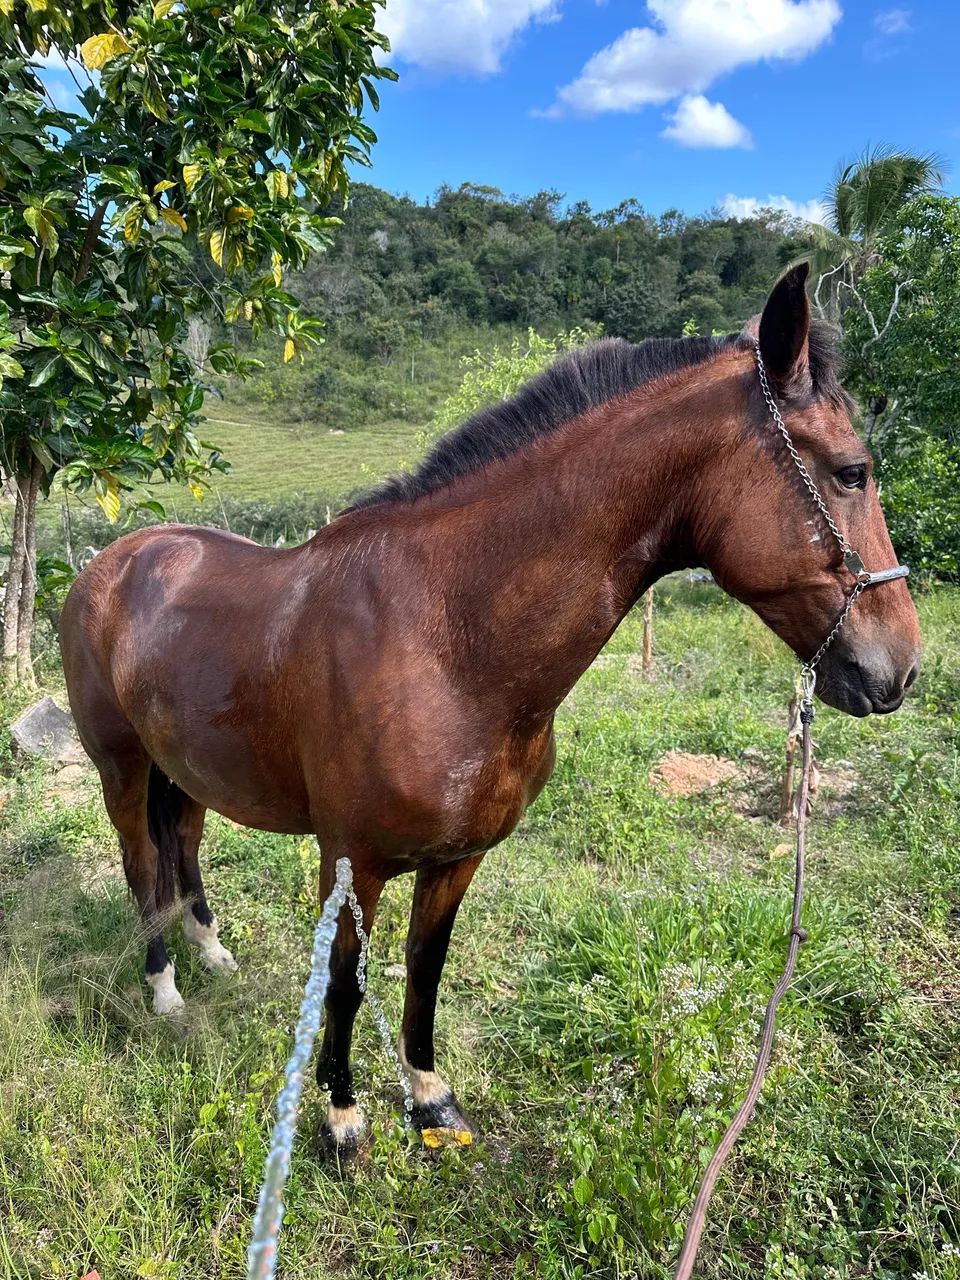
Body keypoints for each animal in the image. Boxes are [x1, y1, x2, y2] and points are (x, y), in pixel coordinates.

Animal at [59, 264, 921, 1155]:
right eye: (852, 471)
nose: (900, 669)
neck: (444, 638)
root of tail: (113, 562)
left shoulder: (458, 858)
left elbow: (424, 969)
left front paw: (430, 1099)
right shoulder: (351, 862)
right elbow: (344, 983)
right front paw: (342, 1118)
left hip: (187, 769)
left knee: (184, 847)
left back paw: (210, 951)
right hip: (122, 768)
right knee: (140, 865)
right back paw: (165, 991)